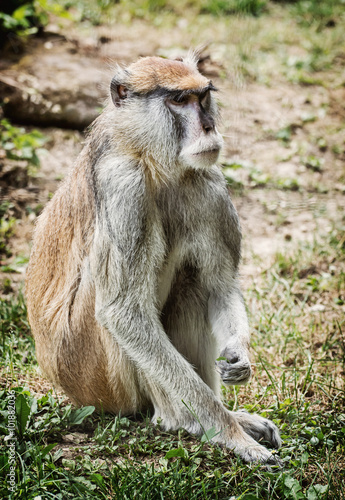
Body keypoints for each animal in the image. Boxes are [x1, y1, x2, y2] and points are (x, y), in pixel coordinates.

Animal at [25, 52, 280, 462]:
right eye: (178, 101)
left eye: (202, 97)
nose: (208, 127)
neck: (149, 158)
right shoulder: (124, 188)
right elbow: (124, 315)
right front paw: (230, 432)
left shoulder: (207, 184)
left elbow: (220, 285)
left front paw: (239, 359)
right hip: (97, 377)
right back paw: (180, 418)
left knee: (192, 281)